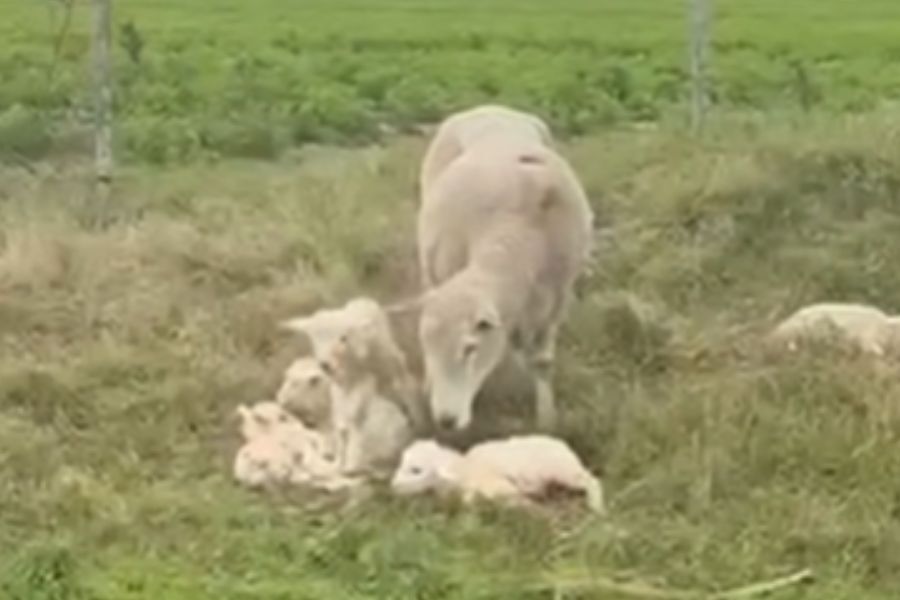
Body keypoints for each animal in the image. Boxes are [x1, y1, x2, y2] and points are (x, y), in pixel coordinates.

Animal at [280, 297, 418, 477]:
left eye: (343, 338)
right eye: (313, 339)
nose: (324, 364)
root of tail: (363, 300)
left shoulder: (363, 379)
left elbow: (354, 416)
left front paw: (352, 463)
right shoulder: (339, 387)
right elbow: (341, 421)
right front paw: (338, 460)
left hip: (389, 360)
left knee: (402, 381)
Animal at [390, 436, 605, 514]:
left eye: (416, 470)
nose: (393, 487)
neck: (465, 469)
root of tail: (565, 447)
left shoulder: (502, 488)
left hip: (565, 471)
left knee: (593, 481)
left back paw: (596, 506)